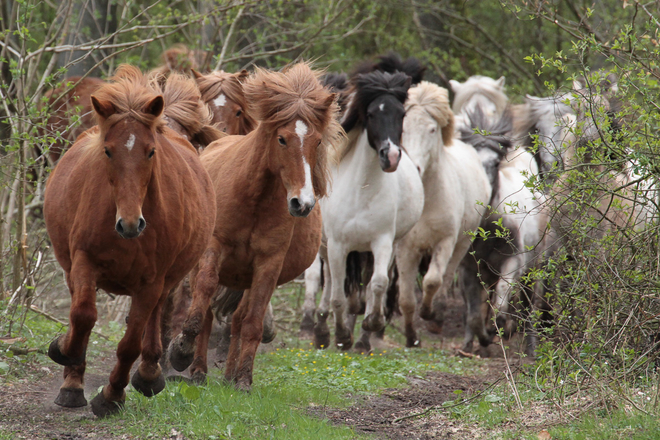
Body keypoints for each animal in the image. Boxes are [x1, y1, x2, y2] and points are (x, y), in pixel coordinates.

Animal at [43, 64, 217, 416]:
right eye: (108, 150)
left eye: (150, 151)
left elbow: (130, 344)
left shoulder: (151, 283)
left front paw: (112, 395)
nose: (130, 225)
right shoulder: (84, 261)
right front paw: (66, 356)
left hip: (164, 280)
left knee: (154, 318)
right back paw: (73, 380)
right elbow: (82, 316)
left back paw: (148, 374)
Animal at [168, 62, 342, 388]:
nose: (303, 203)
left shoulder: (268, 264)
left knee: (239, 318)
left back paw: (228, 374)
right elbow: (202, 302)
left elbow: (252, 322)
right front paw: (181, 350)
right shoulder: (214, 248)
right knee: (205, 307)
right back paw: (197, 369)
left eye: (317, 142)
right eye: (282, 139)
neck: (255, 201)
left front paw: (244, 380)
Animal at [314, 71, 422, 350]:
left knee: (370, 282)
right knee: (330, 280)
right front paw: (342, 336)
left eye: (401, 114)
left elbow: (379, 282)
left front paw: (373, 322)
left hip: (385, 246)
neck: (361, 190)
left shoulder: (382, 240)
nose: (391, 157)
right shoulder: (338, 245)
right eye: (372, 114)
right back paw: (322, 330)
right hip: (326, 245)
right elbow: (338, 294)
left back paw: (363, 333)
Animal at [392, 81, 490, 348]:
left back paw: (437, 314)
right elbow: (406, 298)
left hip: (461, 244)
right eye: (403, 128)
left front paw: (429, 313)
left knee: (445, 277)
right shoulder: (405, 248)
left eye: (432, 129)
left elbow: (433, 281)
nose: (414, 168)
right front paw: (410, 336)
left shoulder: (445, 241)